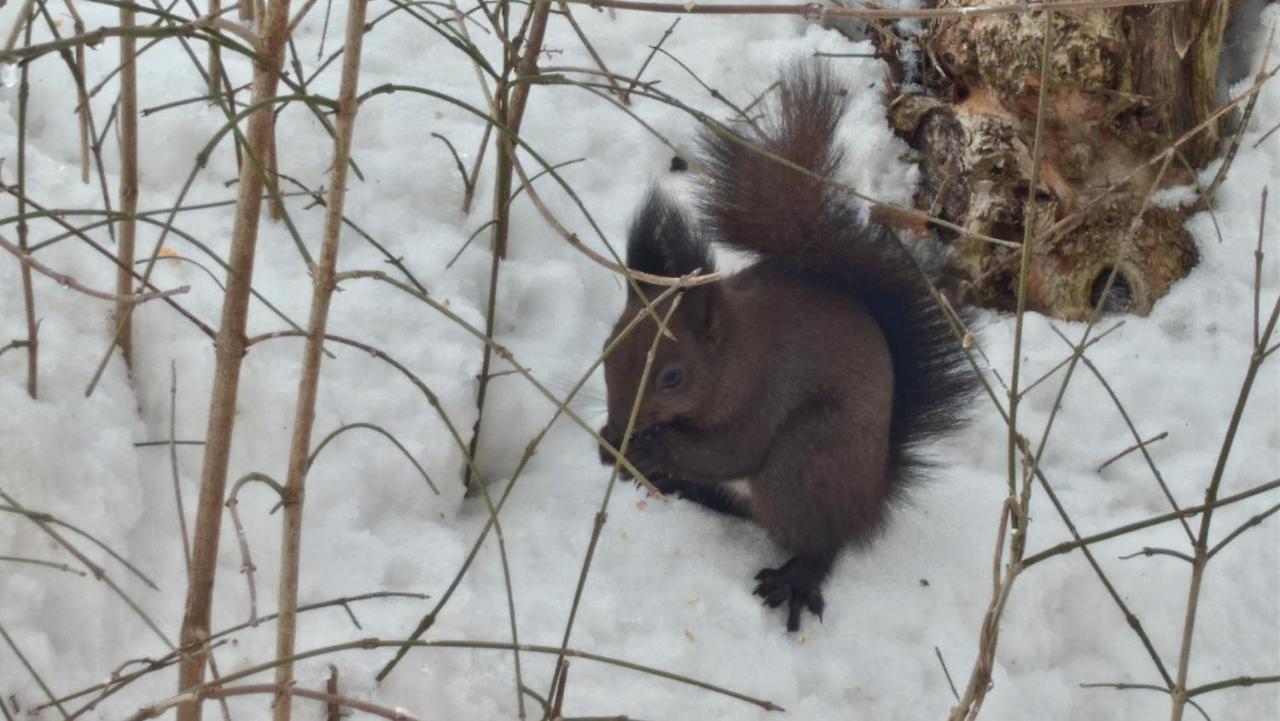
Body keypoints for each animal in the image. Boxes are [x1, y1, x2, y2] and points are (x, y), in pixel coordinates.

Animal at [593, 64, 972, 635]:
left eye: (673, 377)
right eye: (607, 352)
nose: (622, 425)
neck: (735, 355)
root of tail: (870, 496)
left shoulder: (765, 391)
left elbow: (729, 449)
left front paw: (647, 448)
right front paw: (611, 443)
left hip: (803, 462)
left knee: (818, 539)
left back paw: (796, 577)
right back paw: (685, 488)